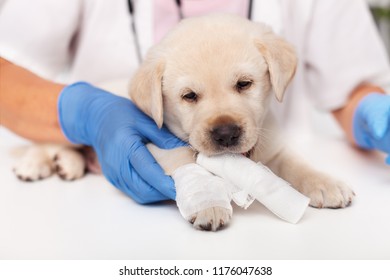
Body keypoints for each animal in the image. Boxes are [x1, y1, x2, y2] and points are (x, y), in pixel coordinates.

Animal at [12, 14, 354, 231]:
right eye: (189, 96)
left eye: (244, 84)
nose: (226, 133)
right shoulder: (157, 147)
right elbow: (188, 163)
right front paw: (208, 203)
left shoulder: (272, 147)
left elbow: (296, 164)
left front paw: (325, 184)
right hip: (65, 124)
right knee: (47, 142)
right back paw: (36, 164)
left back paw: (69, 165)